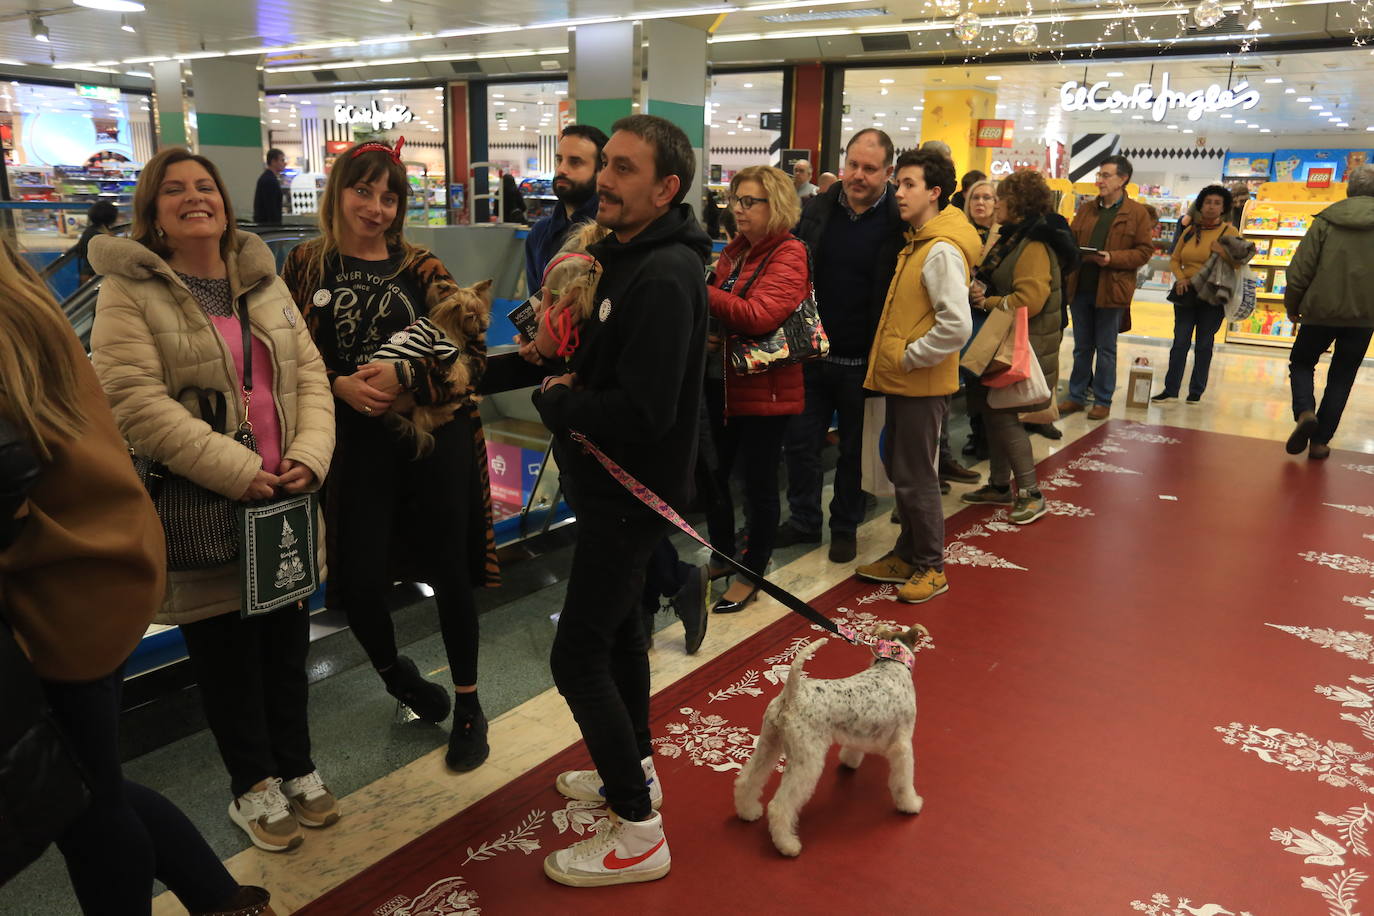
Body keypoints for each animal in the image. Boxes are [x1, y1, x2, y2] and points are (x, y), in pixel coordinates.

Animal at [730, 626, 923, 856]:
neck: (893, 666)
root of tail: (791, 694)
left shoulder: (858, 732)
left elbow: (853, 750)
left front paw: (850, 762)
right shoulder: (903, 745)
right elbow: (904, 781)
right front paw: (911, 803)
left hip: (768, 745)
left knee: (747, 780)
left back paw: (748, 811)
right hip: (807, 762)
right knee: (779, 806)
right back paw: (788, 845)